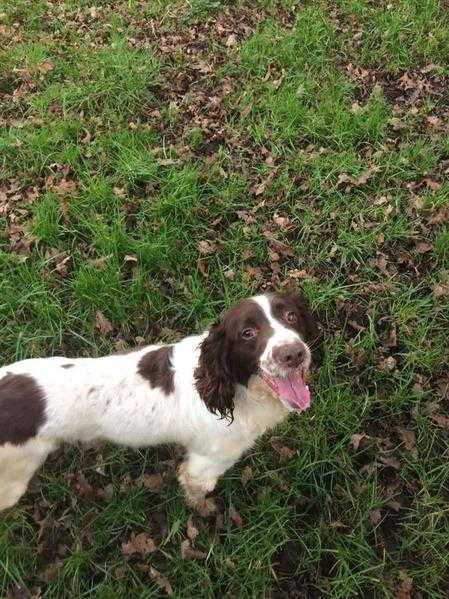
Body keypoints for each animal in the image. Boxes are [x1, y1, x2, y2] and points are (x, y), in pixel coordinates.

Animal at [0, 292, 322, 512]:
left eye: (291, 316)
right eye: (247, 333)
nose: (293, 354)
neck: (228, 387)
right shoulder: (206, 463)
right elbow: (196, 490)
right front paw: (204, 511)